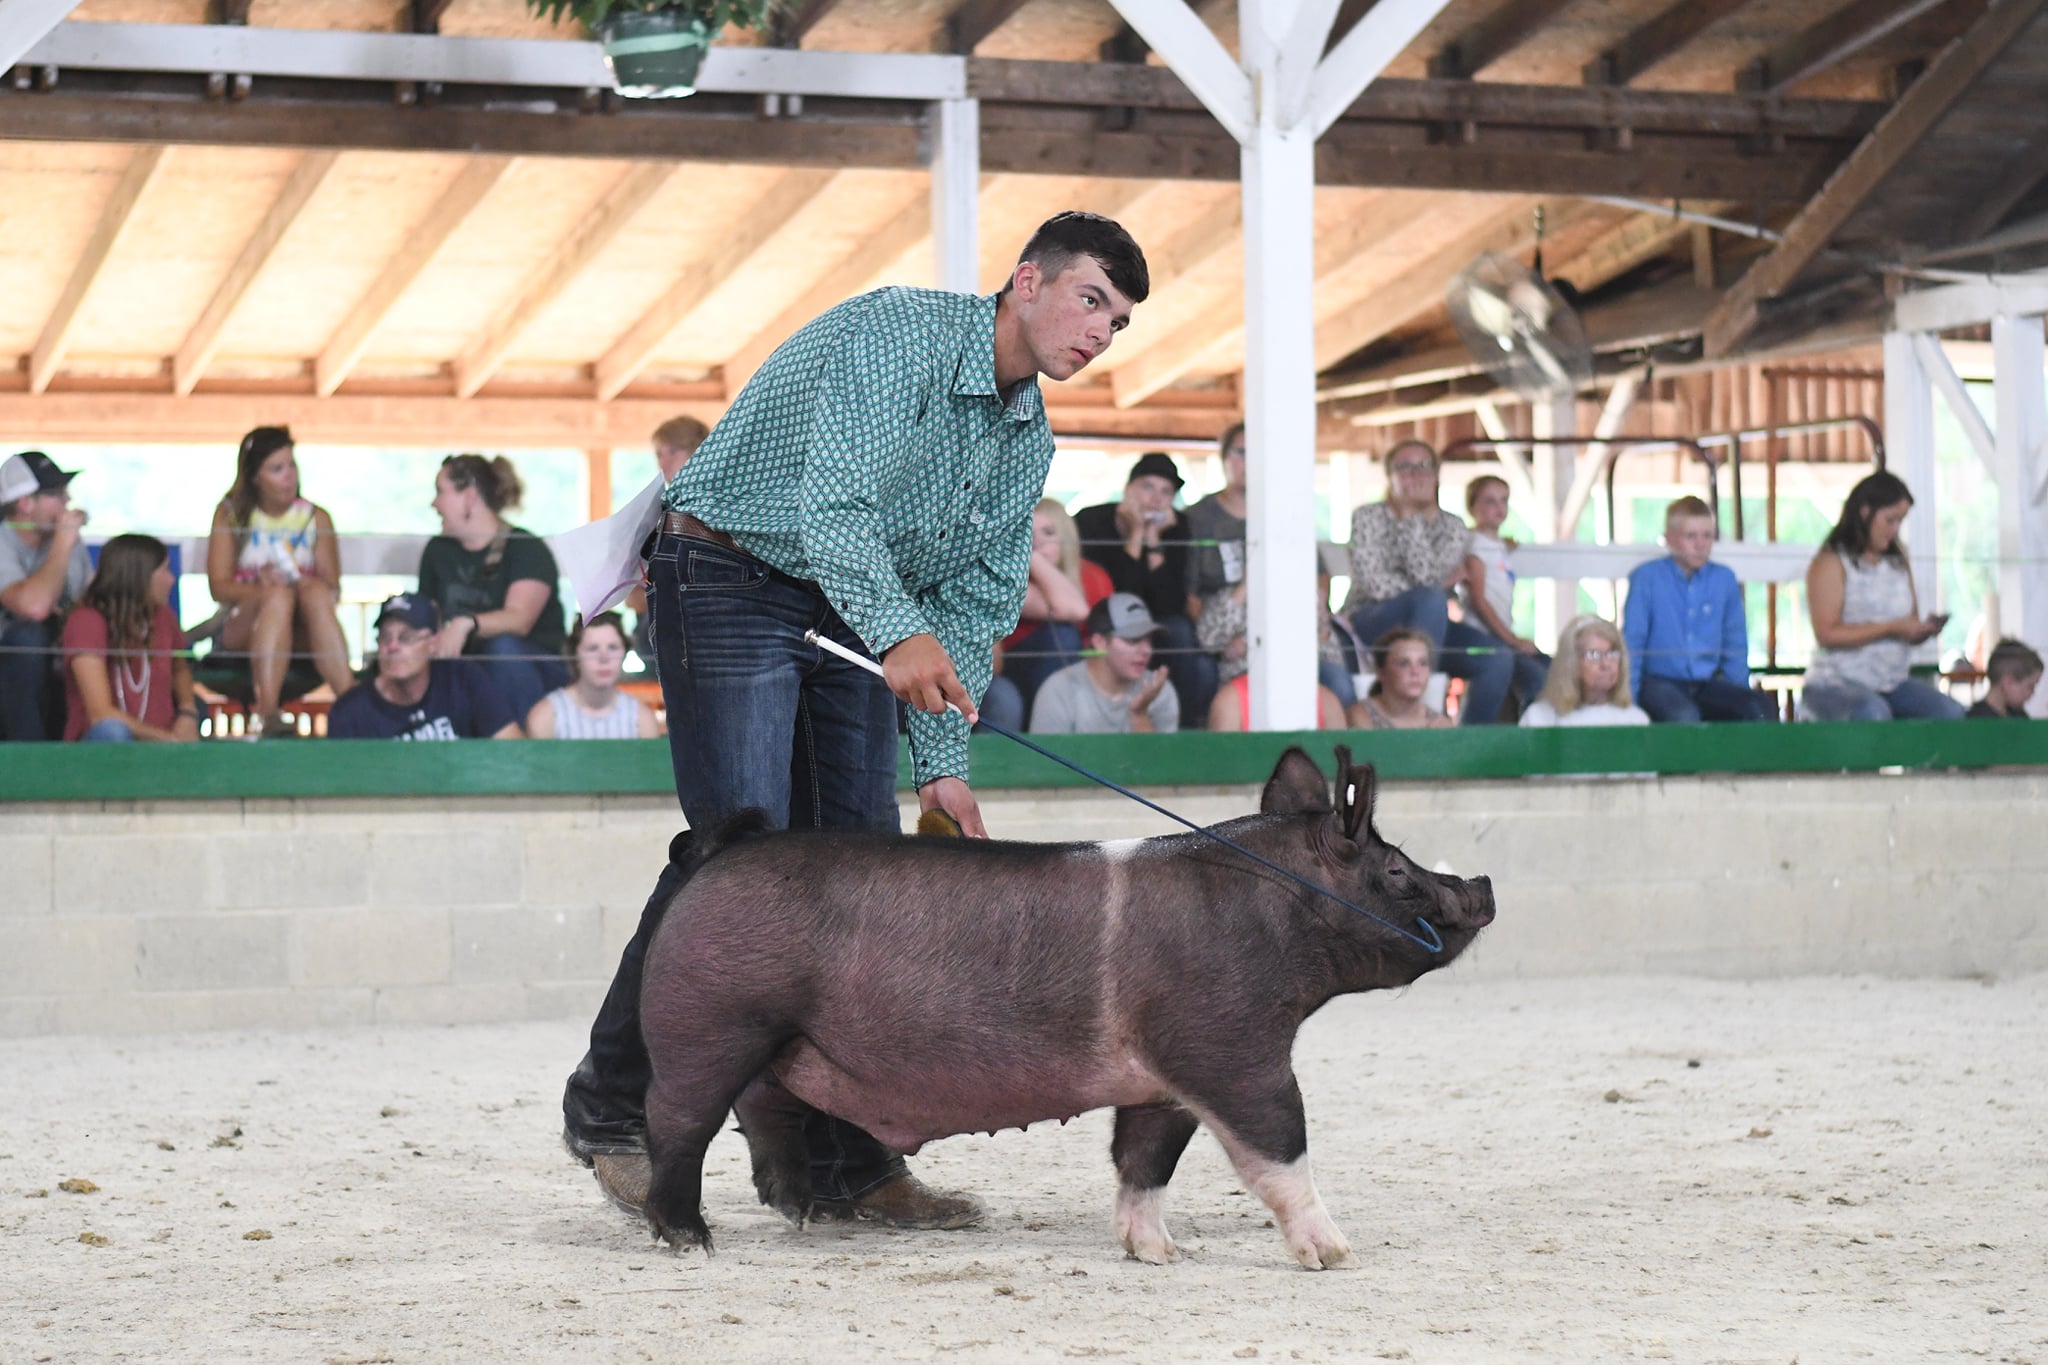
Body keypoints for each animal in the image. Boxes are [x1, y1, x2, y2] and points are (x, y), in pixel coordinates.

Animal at [638, 749, 1490, 1268]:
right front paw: (1337, 1253)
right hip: (710, 1020)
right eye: (1396, 871)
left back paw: (804, 1210)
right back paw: (691, 1239)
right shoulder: (1231, 1051)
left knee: (763, 1108)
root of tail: (724, 849)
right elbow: (1281, 1145)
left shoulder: (1160, 1083)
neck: (1272, 916)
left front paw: (1160, 1253)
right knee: (679, 1124)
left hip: (777, 1039)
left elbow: (1144, 1161)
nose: (1480, 883)